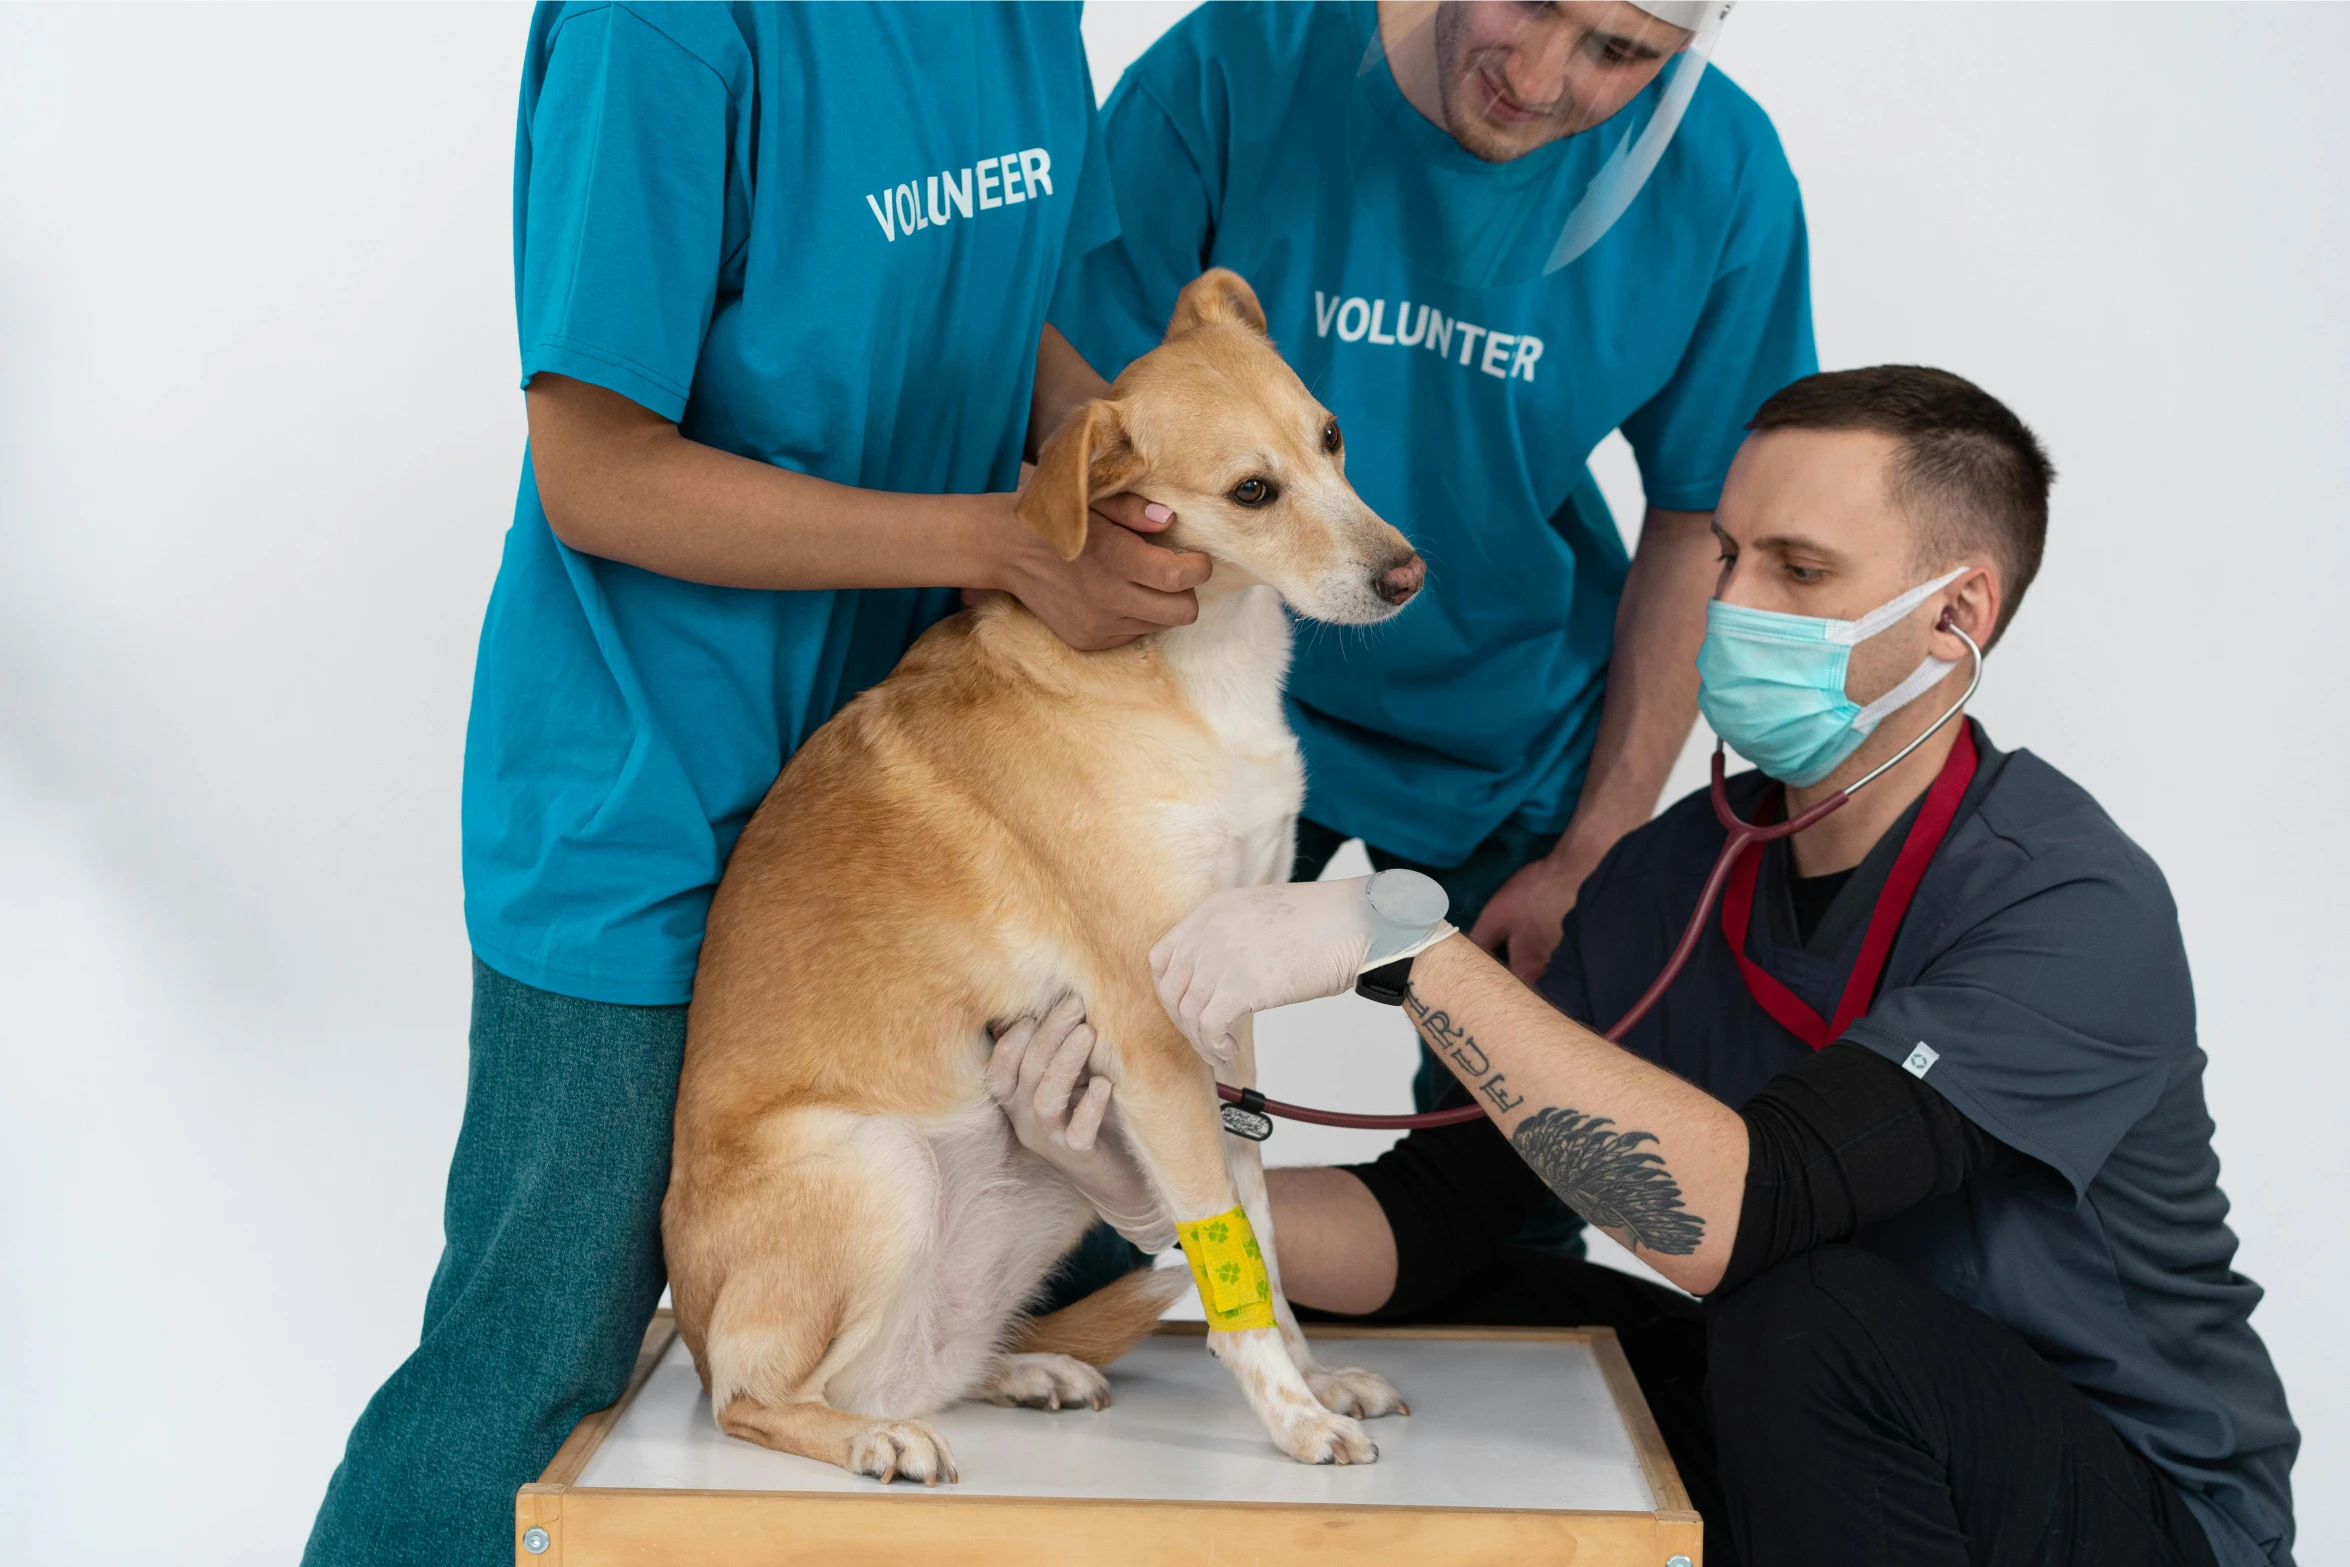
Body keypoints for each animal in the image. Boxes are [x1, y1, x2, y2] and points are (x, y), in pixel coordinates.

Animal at [672, 266, 1419, 1484]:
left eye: (1333, 436)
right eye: (1251, 491)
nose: (1406, 574)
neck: (1197, 674)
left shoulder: (1228, 1017)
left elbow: (1258, 1227)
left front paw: (1316, 1381)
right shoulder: (1151, 1031)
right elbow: (1229, 1259)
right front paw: (1292, 1416)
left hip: (1043, 1172)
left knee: (912, 1365)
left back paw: (1019, 1370)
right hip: (878, 1164)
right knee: (757, 1399)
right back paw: (873, 1437)